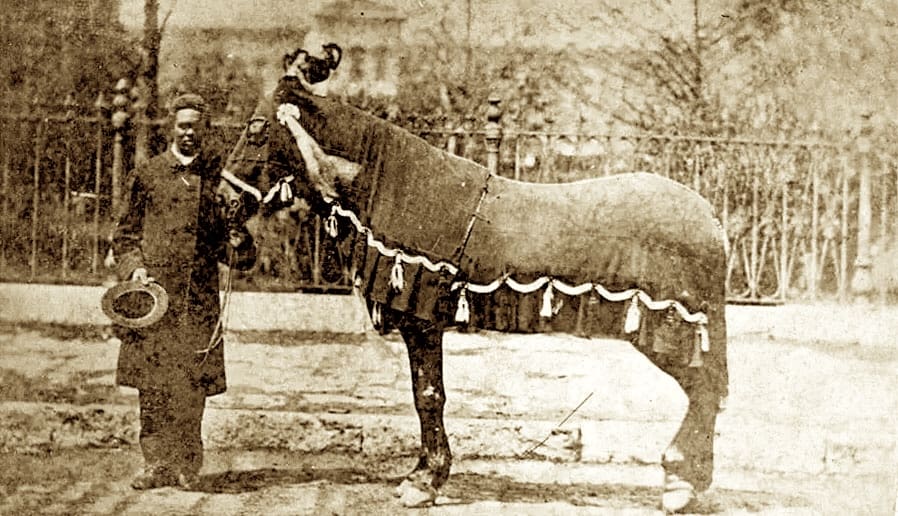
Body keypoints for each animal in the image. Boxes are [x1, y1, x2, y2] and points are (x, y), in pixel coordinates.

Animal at [216, 61, 729, 514]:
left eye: (257, 128)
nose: (224, 200)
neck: (391, 186)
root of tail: (712, 219)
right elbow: (426, 396)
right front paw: (425, 473)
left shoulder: (421, 321)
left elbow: (428, 397)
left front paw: (424, 481)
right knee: (705, 394)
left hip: (671, 332)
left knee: (704, 392)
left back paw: (681, 484)